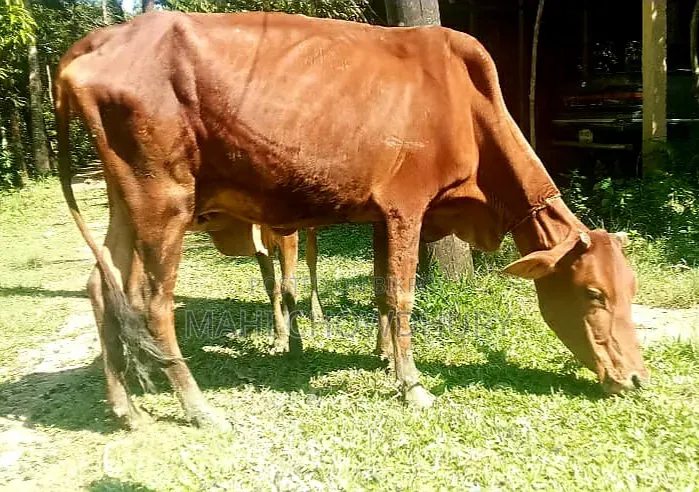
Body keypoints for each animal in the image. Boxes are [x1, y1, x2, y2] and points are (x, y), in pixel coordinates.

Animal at [55, 11, 648, 430]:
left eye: (631, 290)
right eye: (594, 293)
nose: (638, 378)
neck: (468, 105)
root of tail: (98, 41)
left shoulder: (381, 215)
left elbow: (381, 290)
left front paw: (383, 359)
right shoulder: (406, 207)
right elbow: (401, 294)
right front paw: (412, 384)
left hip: (126, 199)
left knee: (101, 286)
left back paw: (128, 408)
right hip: (165, 196)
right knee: (152, 302)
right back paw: (198, 407)